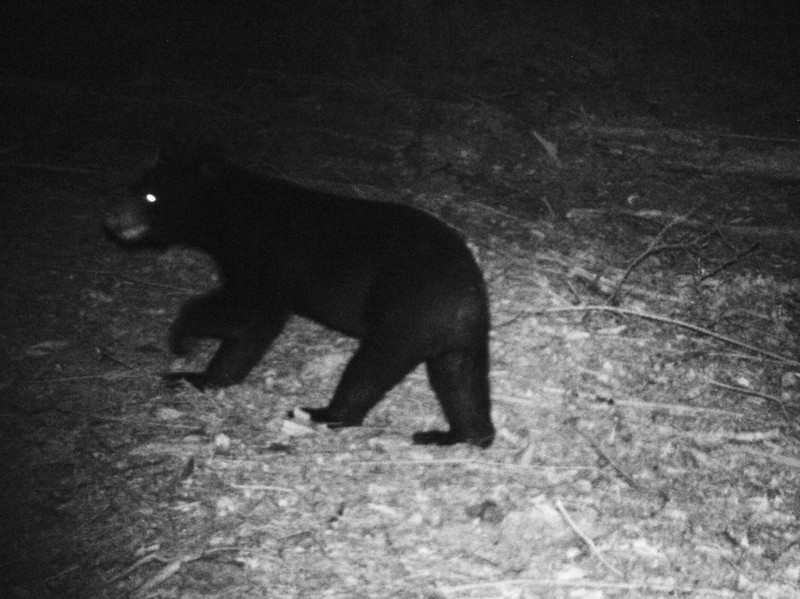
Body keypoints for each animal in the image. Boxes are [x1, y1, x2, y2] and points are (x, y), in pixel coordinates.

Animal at [105, 144, 494, 448]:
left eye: (150, 196)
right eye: (133, 187)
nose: (111, 220)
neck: (233, 213)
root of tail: (466, 295)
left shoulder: (266, 259)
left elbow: (250, 312)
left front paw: (183, 338)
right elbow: (251, 333)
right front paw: (198, 377)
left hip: (403, 314)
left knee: (370, 368)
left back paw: (321, 413)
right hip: (460, 339)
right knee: (461, 382)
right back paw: (456, 434)